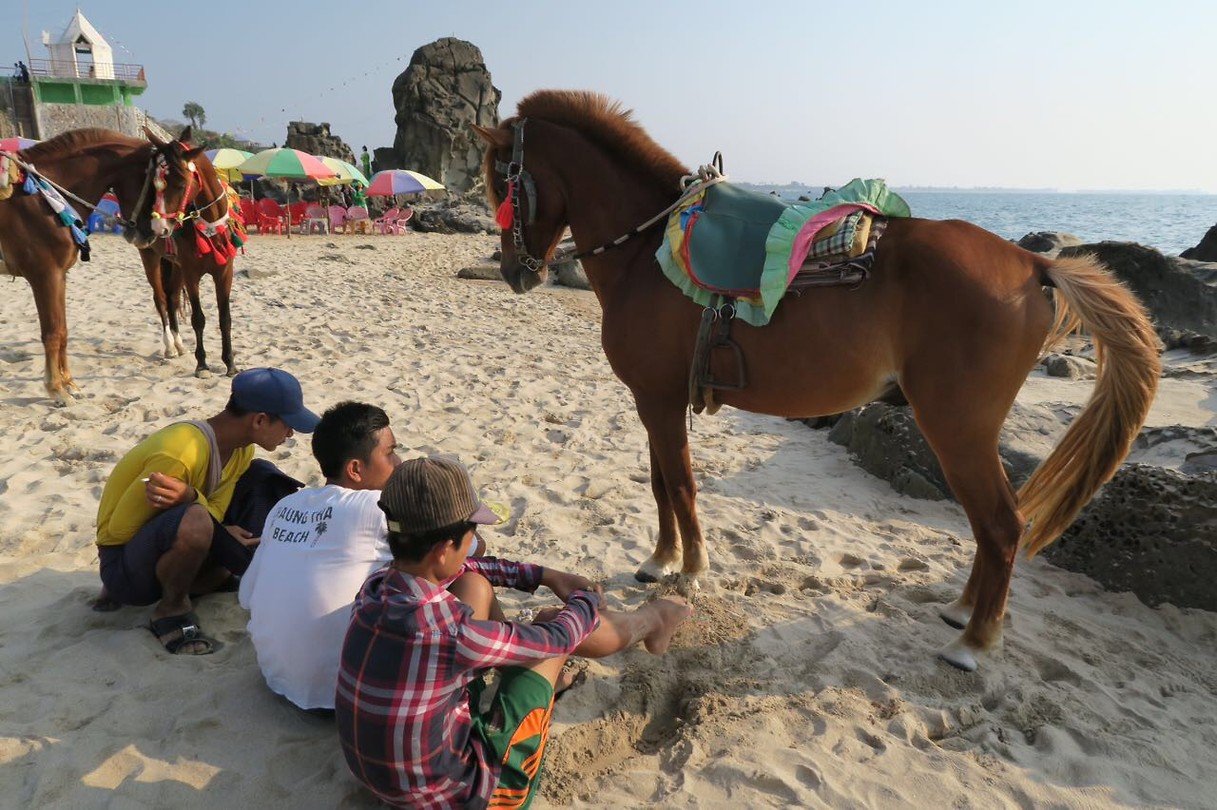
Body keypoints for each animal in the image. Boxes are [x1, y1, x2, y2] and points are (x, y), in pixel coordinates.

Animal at [0, 127, 203, 404]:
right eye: (156, 185)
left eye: (183, 185)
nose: (152, 232)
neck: (42, 199)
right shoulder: (44, 275)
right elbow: (52, 333)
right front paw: (56, 390)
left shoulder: (59, 276)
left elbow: (62, 331)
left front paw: (69, 384)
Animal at [136, 138, 241, 378]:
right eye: (154, 185)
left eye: (181, 184)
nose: (159, 227)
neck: (210, 227)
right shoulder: (192, 275)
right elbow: (198, 319)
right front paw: (202, 364)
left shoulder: (224, 273)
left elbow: (225, 319)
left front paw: (230, 363)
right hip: (152, 259)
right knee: (161, 299)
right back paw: (169, 346)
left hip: (175, 266)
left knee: (172, 298)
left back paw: (178, 343)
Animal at [476, 90, 1161, 671]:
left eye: (502, 180)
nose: (514, 272)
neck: (647, 252)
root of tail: (1031, 262)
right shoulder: (653, 399)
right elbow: (660, 484)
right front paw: (660, 559)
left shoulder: (661, 401)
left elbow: (683, 486)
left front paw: (691, 568)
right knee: (995, 529)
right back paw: (963, 611)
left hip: (956, 428)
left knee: (1003, 525)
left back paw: (973, 641)